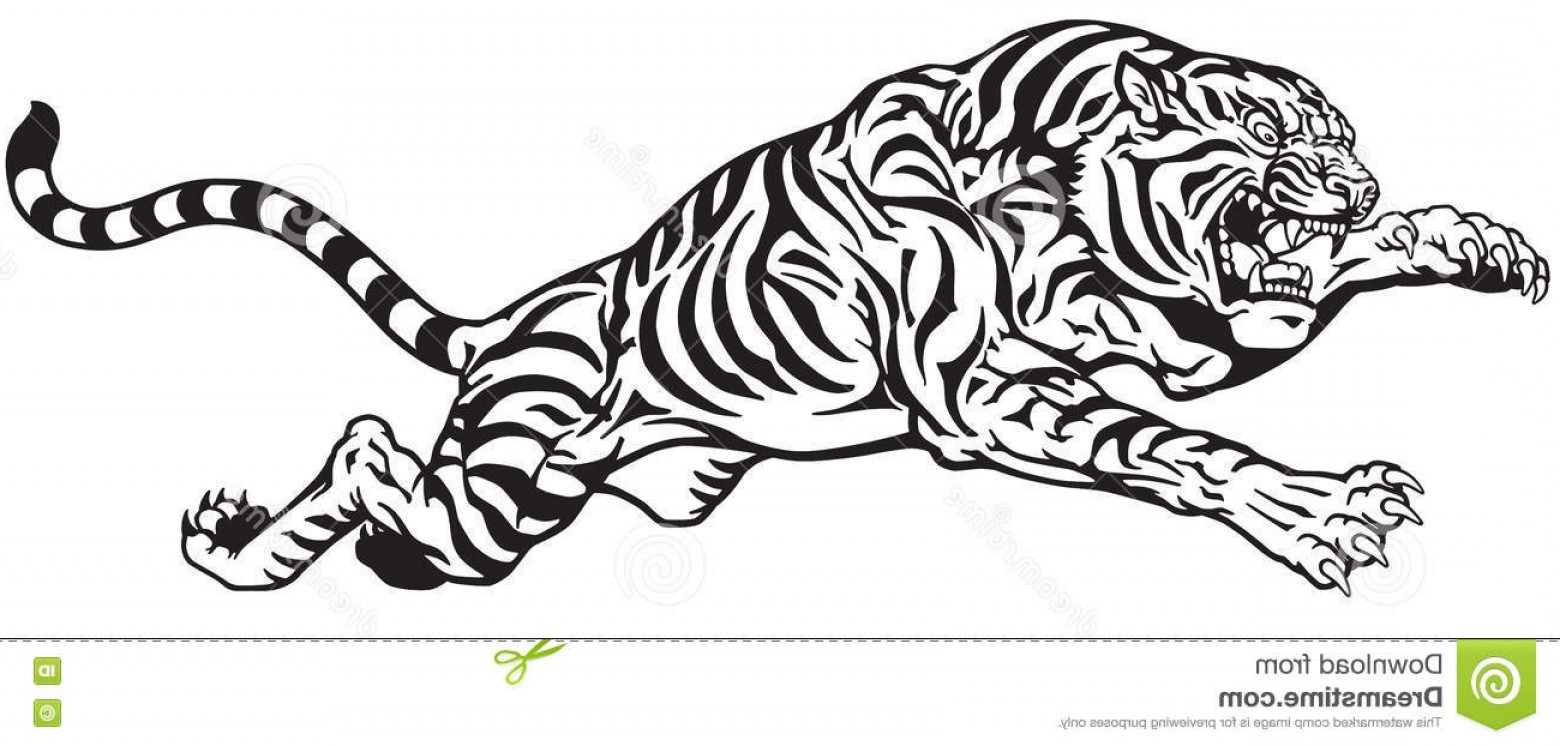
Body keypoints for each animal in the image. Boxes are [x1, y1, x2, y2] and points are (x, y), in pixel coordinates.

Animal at [6, 20, 1545, 595]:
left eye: (1351, 140)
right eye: (1268, 134)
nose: (1362, 178)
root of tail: (521, 310)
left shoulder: (1172, 328)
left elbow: (1296, 308)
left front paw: (1462, 238)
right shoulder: (994, 394)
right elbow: (1173, 448)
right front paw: (1318, 511)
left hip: (543, 502)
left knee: (394, 513)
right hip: (495, 490)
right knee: (372, 448)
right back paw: (234, 549)